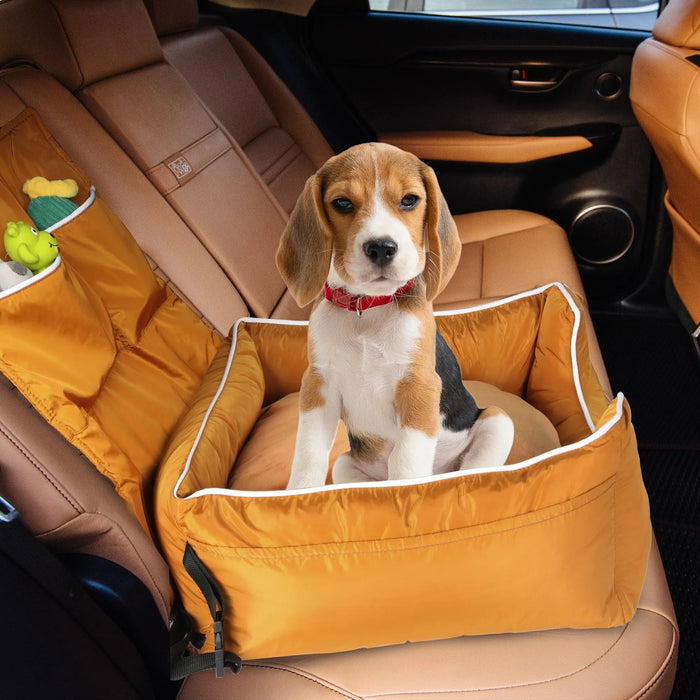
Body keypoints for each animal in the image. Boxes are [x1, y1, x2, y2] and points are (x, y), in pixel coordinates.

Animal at [276, 144, 512, 490]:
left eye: (409, 200)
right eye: (342, 203)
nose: (381, 248)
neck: (366, 309)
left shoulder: (419, 385)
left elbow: (406, 459)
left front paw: (404, 494)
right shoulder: (319, 384)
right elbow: (308, 453)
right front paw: (301, 494)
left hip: (497, 419)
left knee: (474, 467)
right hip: (346, 464)